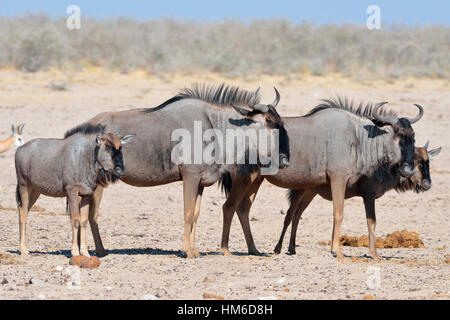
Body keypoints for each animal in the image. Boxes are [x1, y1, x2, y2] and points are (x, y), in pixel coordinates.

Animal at [15, 124, 134, 256]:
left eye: (120, 147)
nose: (120, 170)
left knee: (23, 210)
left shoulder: (86, 194)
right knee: (23, 213)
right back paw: (24, 249)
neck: (86, 156)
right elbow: (75, 219)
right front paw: (75, 251)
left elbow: (84, 220)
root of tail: (19, 150)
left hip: (35, 190)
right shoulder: (72, 192)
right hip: (24, 185)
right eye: (107, 146)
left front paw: (85, 252)